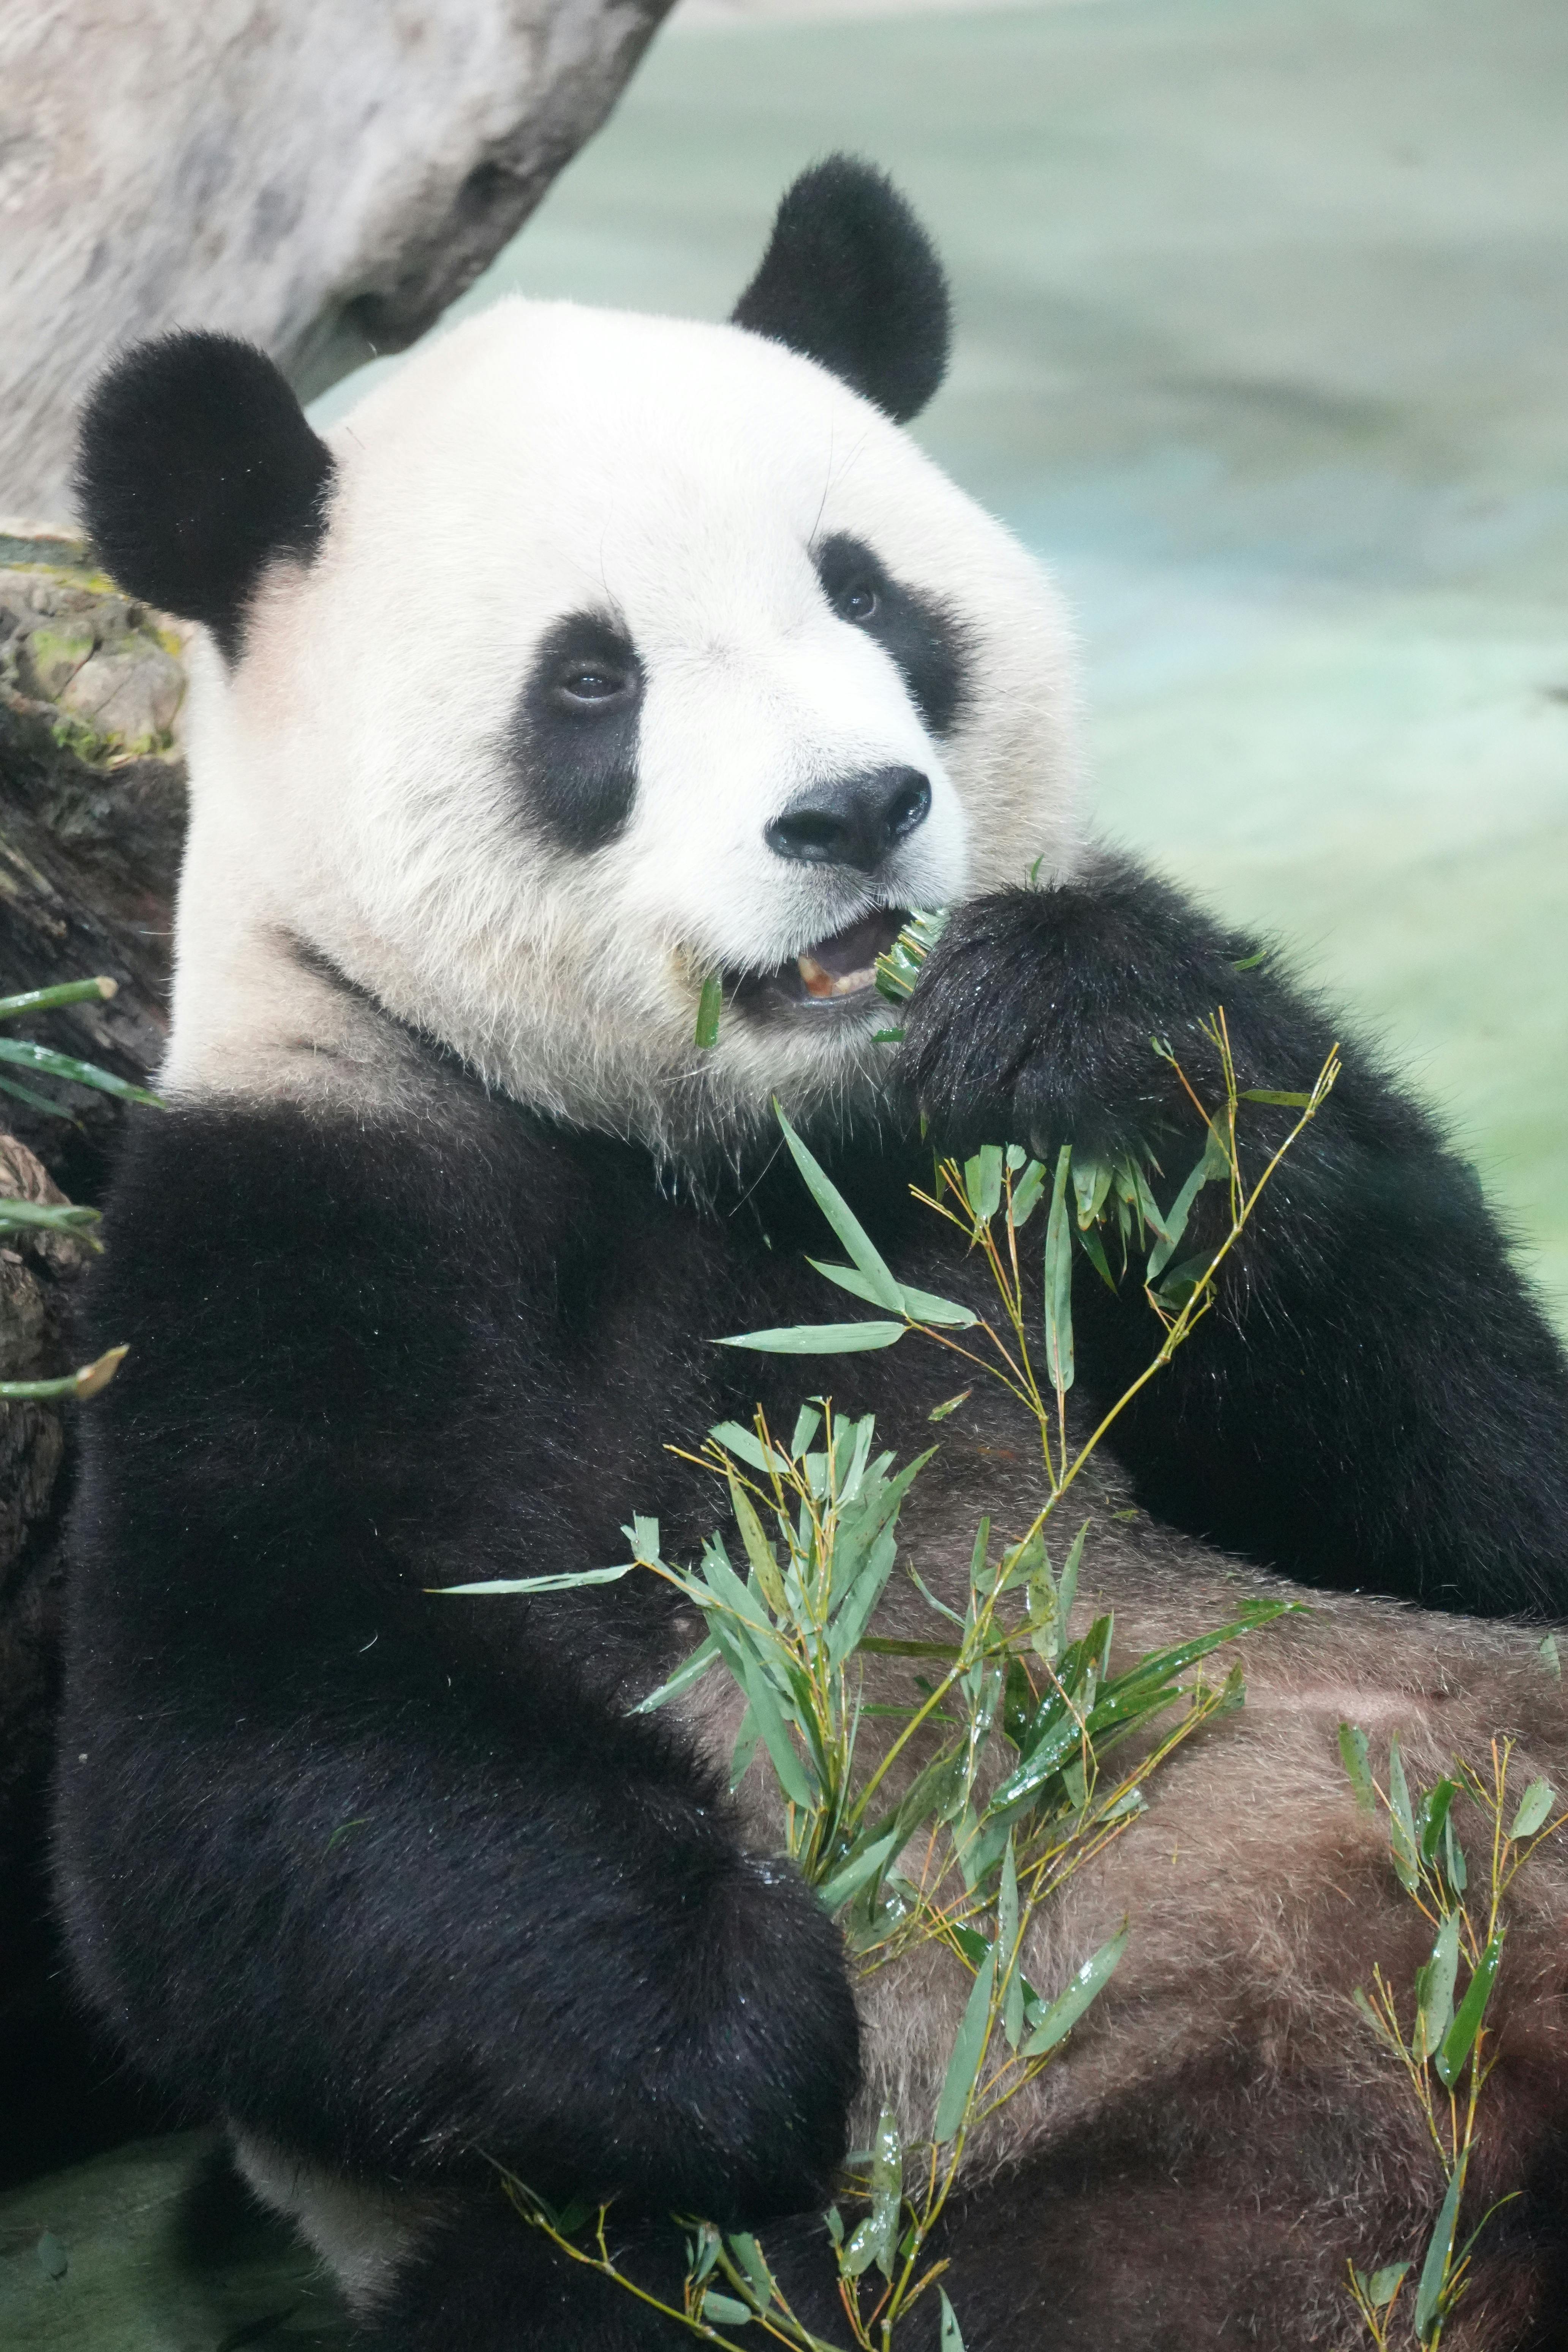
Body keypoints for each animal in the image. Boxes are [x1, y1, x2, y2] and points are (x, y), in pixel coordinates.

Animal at [55, 156, 1568, 2343]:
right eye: (591, 682)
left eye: (865, 595)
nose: (852, 810)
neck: (757, 1148)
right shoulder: (305, 1222)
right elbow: (246, 1779)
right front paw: (747, 2002)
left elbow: (1478, 1474)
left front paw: (1085, 1041)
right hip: (1144, 2174)